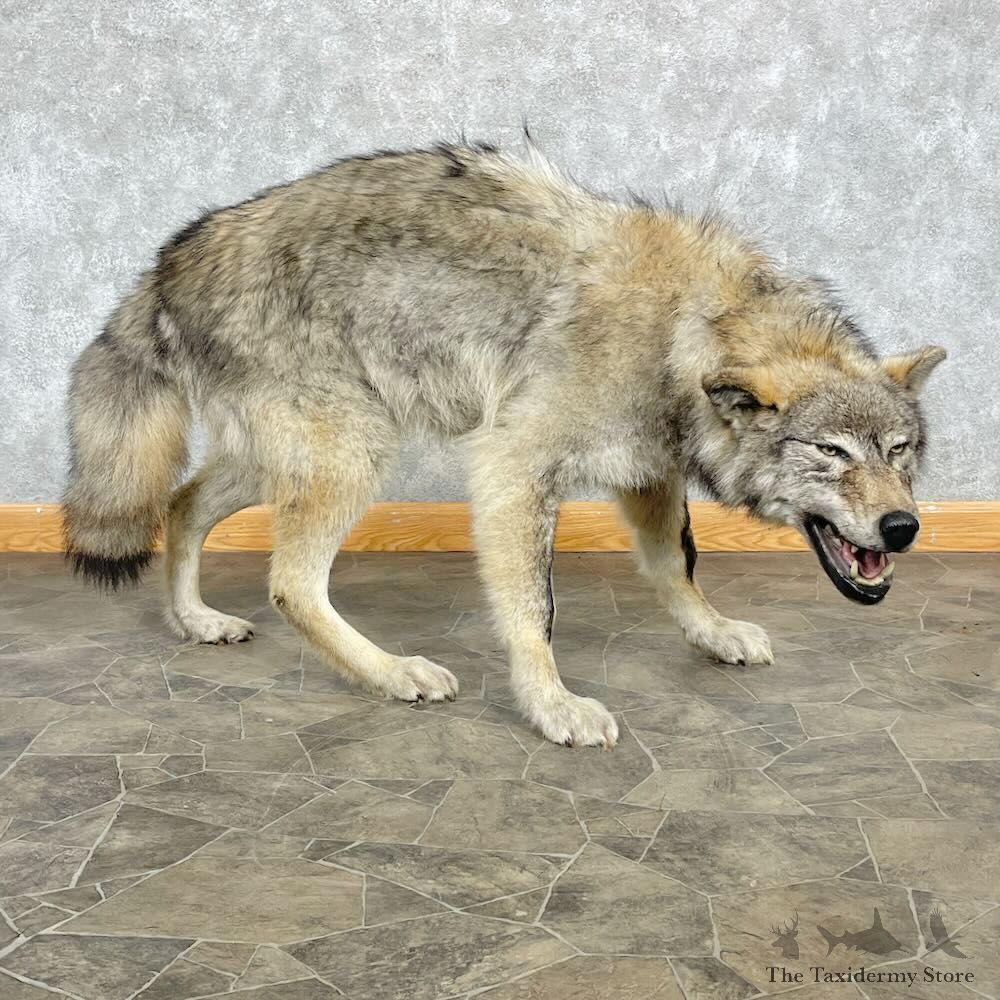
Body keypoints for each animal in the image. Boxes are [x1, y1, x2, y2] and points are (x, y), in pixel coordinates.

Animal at [63, 138, 946, 747]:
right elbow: (534, 609)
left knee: (180, 504)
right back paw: (394, 674)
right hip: (354, 456)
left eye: (900, 451)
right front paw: (553, 707)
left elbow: (677, 566)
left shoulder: (647, 471)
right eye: (833, 452)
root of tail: (169, 258)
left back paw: (197, 622)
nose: (904, 528)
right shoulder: (513, 465)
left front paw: (713, 632)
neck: (685, 327)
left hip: (289, 460)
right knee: (288, 584)